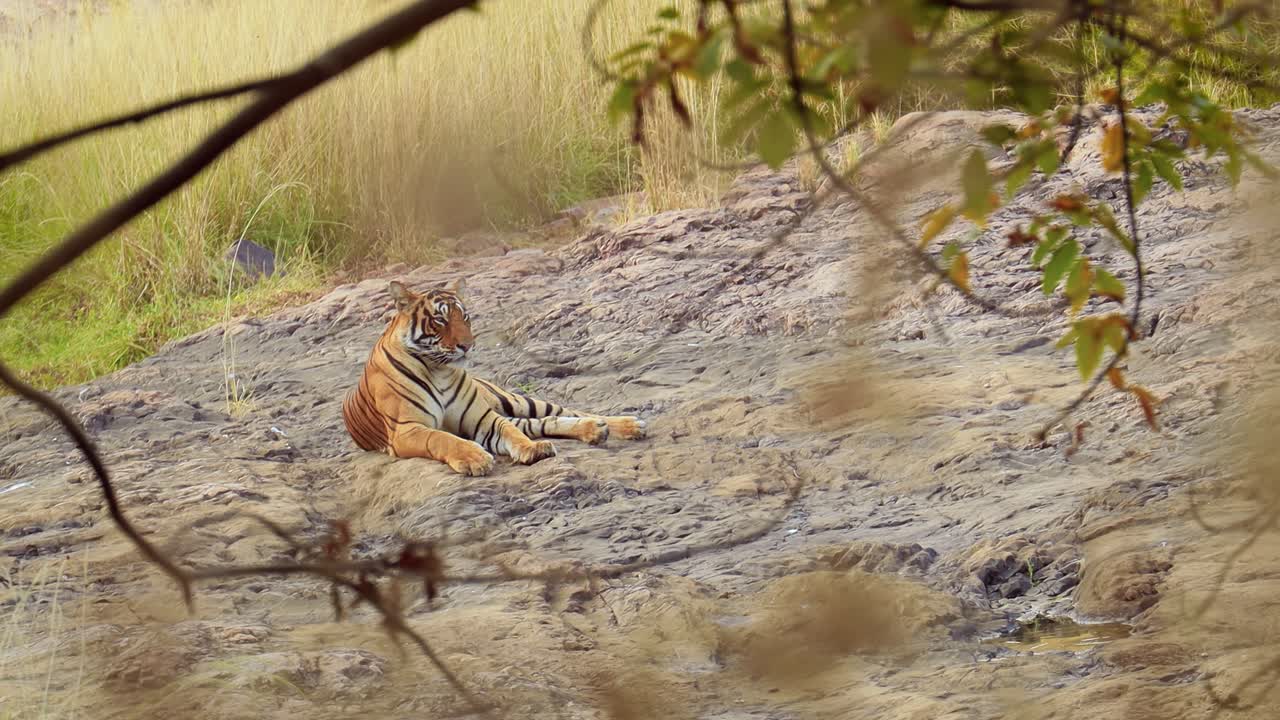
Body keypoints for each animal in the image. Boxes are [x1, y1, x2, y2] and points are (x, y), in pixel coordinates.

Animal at [342, 278, 647, 476]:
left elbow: (509, 432)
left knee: (561, 412)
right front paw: (475, 457)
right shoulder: (407, 429)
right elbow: (443, 438)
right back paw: (596, 429)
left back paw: (626, 425)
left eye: (465, 316)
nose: (467, 345)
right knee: (542, 422)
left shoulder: (482, 417)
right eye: (440, 320)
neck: (439, 370)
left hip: (515, 401)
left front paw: (532, 449)